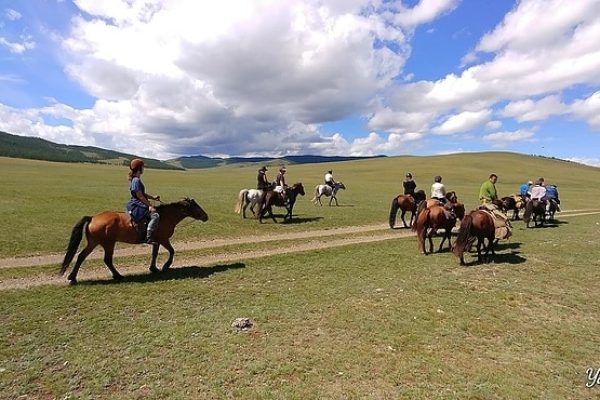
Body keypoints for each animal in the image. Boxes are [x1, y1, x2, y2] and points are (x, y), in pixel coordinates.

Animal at [59, 198, 209, 284]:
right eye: (195, 206)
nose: (206, 216)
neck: (165, 216)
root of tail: (92, 218)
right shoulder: (163, 239)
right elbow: (172, 251)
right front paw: (166, 266)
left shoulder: (156, 241)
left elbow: (154, 253)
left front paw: (153, 268)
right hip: (108, 243)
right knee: (107, 259)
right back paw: (118, 276)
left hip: (94, 242)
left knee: (81, 256)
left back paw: (72, 278)